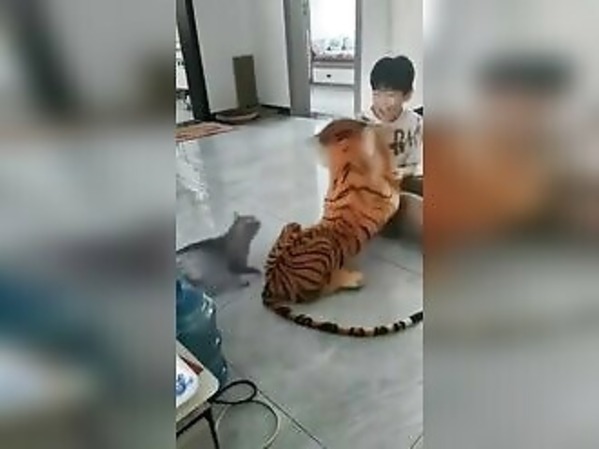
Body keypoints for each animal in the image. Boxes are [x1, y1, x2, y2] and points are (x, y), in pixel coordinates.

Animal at [262, 118, 423, 337]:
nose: (366, 122)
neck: (348, 166)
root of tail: (269, 284)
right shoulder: (392, 195)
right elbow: (395, 177)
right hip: (323, 248)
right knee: (316, 292)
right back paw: (354, 280)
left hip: (291, 226)